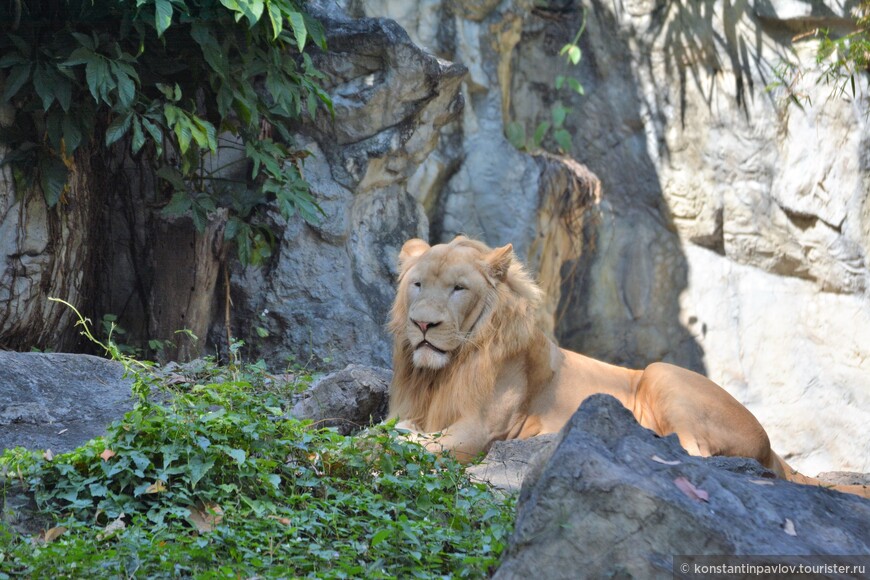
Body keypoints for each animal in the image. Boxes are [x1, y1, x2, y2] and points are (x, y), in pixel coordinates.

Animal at [388, 236, 870, 498]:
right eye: (418, 285)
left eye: (458, 288)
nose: (423, 324)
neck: (443, 370)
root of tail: (773, 449)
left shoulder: (481, 429)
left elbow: (409, 445)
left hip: (661, 372)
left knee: (693, 453)